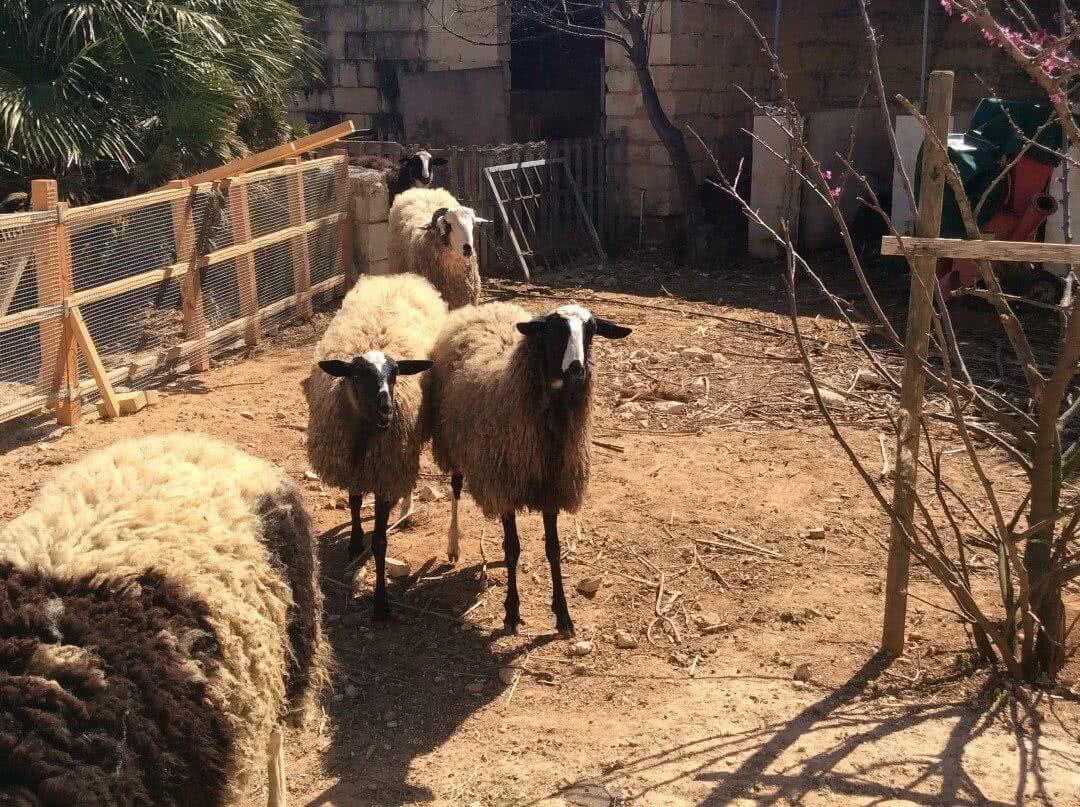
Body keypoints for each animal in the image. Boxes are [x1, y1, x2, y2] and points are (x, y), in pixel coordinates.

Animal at [302, 271, 444, 617]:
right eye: (355, 375)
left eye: (395, 374)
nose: (387, 410)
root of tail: (397, 277)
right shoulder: (352, 465)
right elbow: (354, 502)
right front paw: (354, 541)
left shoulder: (383, 474)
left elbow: (380, 541)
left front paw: (381, 603)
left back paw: (405, 508)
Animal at [423, 302, 630, 639]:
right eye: (554, 329)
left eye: (592, 329)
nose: (577, 369)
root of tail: (485, 307)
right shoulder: (506, 487)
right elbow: (513, 549)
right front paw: (511, 612)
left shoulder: (551, 489)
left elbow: (553, 549)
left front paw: (563, 616)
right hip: (452, 442)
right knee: (454, 487)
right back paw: (453, 544)